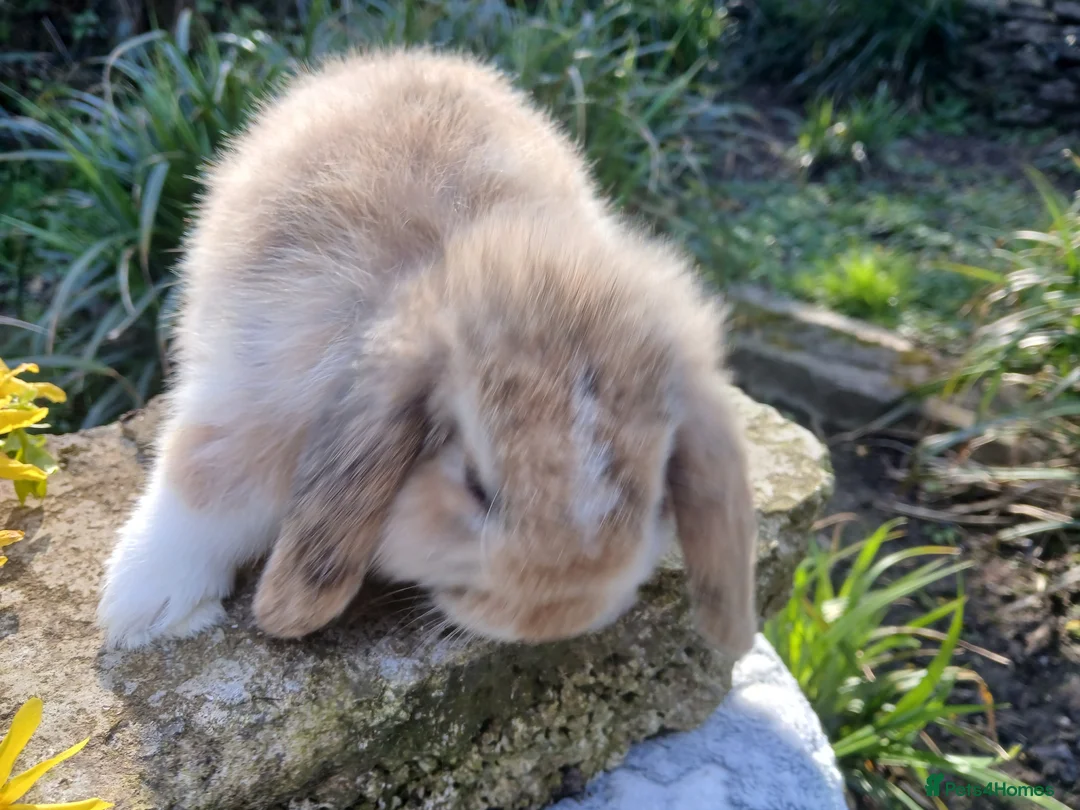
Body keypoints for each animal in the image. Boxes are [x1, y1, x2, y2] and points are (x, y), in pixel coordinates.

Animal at [96, 46, 758, 656]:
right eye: (475, 485)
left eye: (655, 494)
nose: (556, 620)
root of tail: (405, 55)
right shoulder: (253, 395)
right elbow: (204, 480)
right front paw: (145, 608)